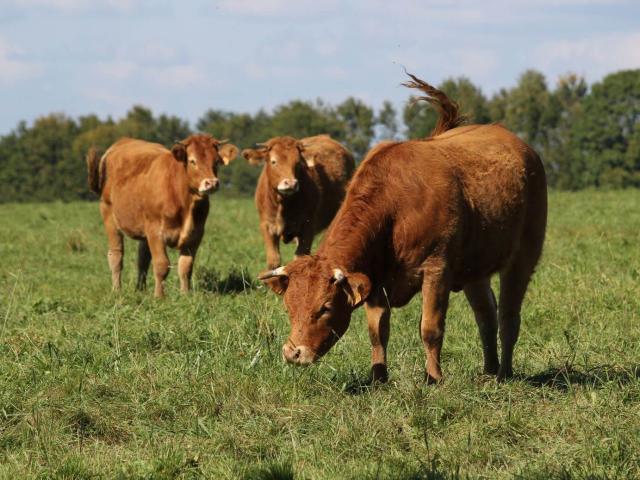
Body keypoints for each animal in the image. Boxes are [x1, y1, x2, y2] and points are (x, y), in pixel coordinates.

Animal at [87, 134, 239, 297]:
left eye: (216, 161)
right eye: (192, 161)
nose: (211, 183)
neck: (185, 200)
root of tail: (121, 142)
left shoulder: (196, 234)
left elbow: (185, 267)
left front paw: (185, 295)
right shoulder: (156, 232)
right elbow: (161, 265)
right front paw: (159, 296)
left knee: (143, 258)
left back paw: (140, 289)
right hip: (109, 216)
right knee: (116, 256)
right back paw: (117, 290)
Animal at [243, 134, 355, 269]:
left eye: (298, 163)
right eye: (274, 161)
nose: (291, 183)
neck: (283, 204)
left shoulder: (308, 227)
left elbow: (300, 257)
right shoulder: (267, 226)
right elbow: (274, 261)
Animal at [259, 74, 547, 384]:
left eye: (325, 308)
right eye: (288, 307)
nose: (293, 353)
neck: (397, 206)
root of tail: (522, 146)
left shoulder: (436, 270)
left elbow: (430, 328)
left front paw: (433, 377)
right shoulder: (375, 280)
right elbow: (377, 332)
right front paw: (378, 377)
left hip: (523, 257)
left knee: (508, 316)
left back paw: (505, 371)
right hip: (474, 270)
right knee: (486, 315)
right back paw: (490, 370)